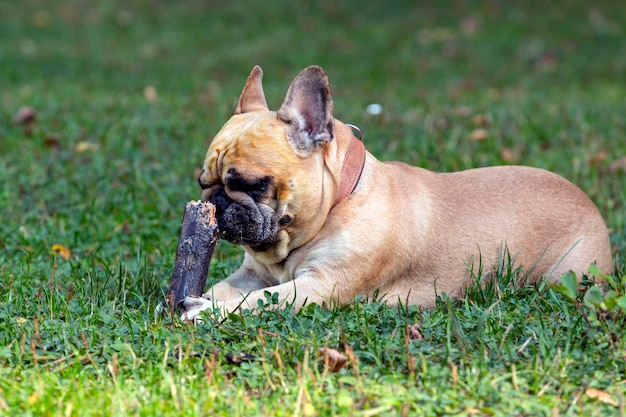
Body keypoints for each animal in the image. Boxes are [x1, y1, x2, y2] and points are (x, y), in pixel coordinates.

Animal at [180, 65, 608, 318]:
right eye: (204, 182)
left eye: (251, 184)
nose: (215, 202)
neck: (335, 208)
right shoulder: (253, 273)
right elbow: (225, 287)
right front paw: (204, 299)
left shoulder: (321, 286)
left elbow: (255, 302)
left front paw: (208, 312)